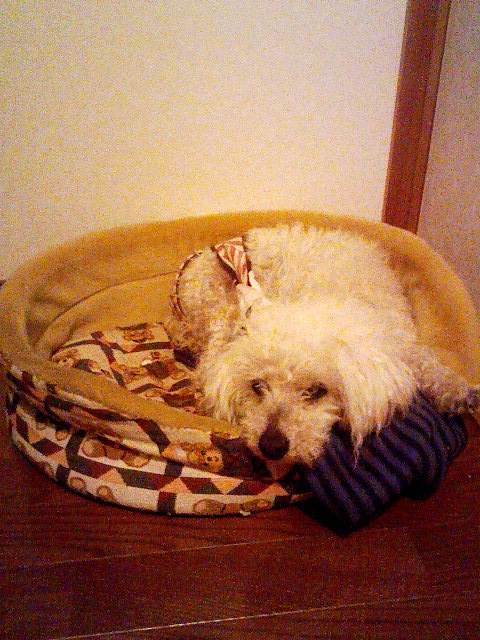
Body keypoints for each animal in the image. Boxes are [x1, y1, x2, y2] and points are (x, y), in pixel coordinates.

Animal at [165, 223, 479, 464]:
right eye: (257, 386)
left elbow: (426, 362)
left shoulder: (399, 339)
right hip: (215, 307)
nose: (272, 447)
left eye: (317, 391)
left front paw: (457, 391)